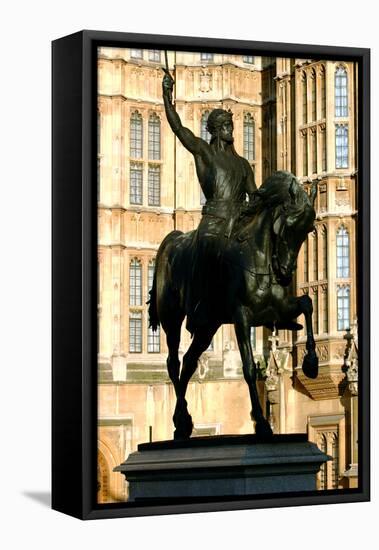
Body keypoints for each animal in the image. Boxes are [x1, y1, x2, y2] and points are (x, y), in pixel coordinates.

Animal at [148, 171, 318, 440]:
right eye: (289, 225)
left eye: (308, 229)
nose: (285, 272)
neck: (259, 256)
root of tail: (171, 239)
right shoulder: (242, 316)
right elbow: (248, 367)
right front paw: (261, 422)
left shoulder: (275, 310)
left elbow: (307, 304)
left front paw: (311, 362)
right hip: (172, 318)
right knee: (173, 362)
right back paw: (180, 420)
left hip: (208, 326)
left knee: (189, 362)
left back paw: (183, 421)